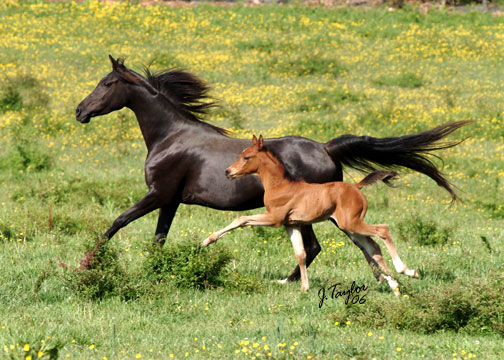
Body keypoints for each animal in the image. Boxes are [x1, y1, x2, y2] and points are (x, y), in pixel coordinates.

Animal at [201, 136, 418, 294]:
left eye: (246, 157)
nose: (228, 172)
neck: (279, 185)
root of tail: (356, 187)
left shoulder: (274, 218)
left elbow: (241, 219)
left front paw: (206, 241)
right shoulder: (292, 224)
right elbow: (301, 253)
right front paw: (304, 287)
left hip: (351, 223)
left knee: (382, 230)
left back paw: (406, 271)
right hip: (349, 225)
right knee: (372, 246)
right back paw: (395, 286)